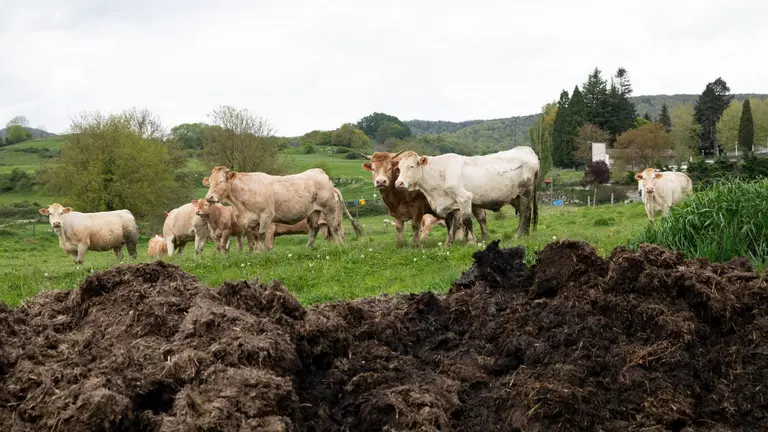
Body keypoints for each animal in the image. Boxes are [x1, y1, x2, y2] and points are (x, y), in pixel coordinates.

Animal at [203, 166, 358, 251]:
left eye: (221, 181)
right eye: (209, 183)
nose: (209, 197)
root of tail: (319, 172)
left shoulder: (266, 216)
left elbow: (262, 236)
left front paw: (261, 254)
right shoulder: (250, 221)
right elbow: (254, 240)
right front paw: (256, 253)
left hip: (329, 209)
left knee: (335, 228)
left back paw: (340, 246)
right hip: (313, 213)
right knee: (314, 230)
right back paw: (308, 248)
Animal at [394, 147, 540, 245]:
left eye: (412, 166)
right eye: (399, 168)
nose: (398, 183)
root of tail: (527, 150)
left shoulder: (464, 198)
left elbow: (467, 220)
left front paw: (471, 241)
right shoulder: (450, 204)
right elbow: (450, 224)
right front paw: (448, 243)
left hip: (526, 193)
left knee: (525, 213)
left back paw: (518, 235)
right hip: (516, 197)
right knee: (525, 212)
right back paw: (525, 234)